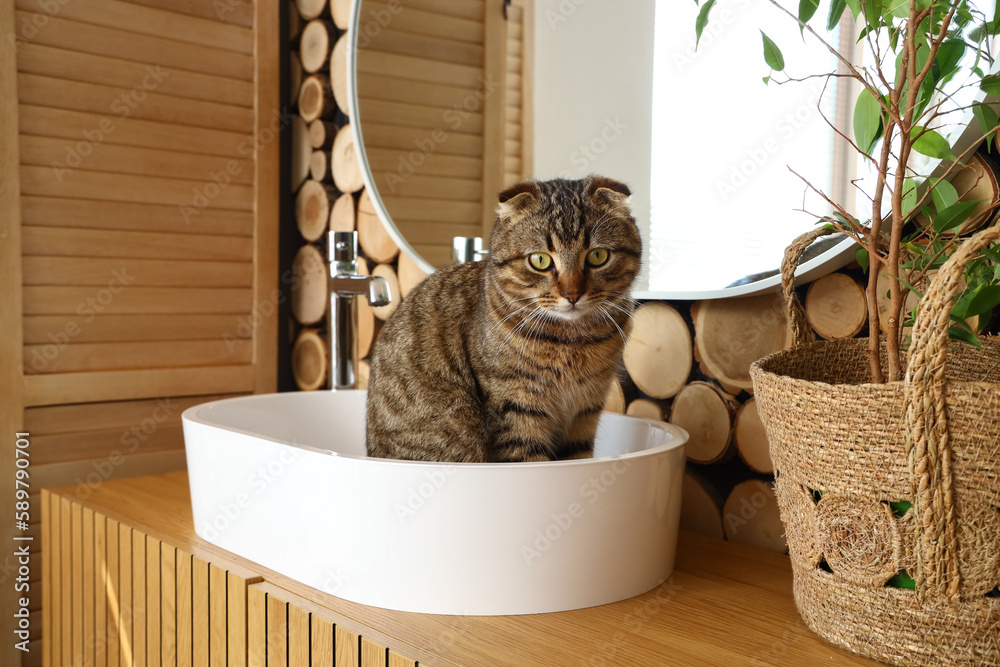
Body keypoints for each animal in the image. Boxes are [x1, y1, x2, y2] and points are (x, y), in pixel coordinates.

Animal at [366, 175, 640, 462]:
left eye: (598, 256)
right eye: (540, 260)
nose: (572, 294)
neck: (572, 341)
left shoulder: (585, 410)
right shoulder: (516, 406)